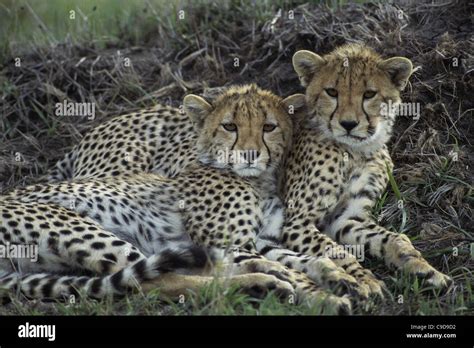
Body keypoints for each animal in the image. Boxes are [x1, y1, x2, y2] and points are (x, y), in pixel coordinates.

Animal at [2, 86, 352, 312]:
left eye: (269, 127)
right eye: (229, 126)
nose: (250, 154)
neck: (257, 180)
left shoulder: (261, 238)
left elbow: (302, 259)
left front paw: (338, 277)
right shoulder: (233, 240)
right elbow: (290, 268)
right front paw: (326, 297)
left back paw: (259, 281)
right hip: (80, 227)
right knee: (156, 279)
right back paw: (262, 280)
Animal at [278, 44, 452, 292]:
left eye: (369, 94)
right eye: (331, 92)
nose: (348, 124)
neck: (356, 151)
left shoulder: (347, 218)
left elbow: (394, 239)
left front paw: (424, 269)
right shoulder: (295, 221)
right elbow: (335, 251)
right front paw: (364, 279)